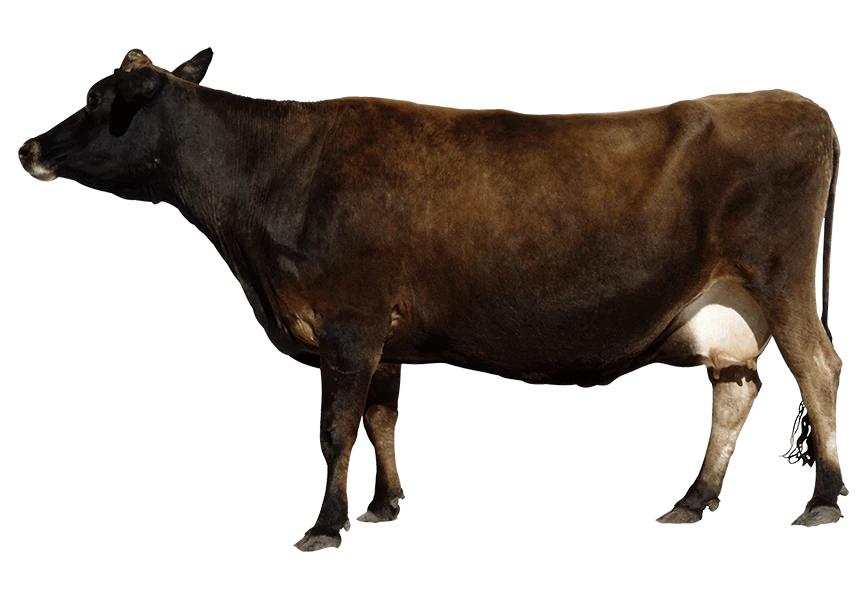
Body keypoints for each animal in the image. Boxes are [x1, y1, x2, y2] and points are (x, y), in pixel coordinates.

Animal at [18, 48, 846, 551]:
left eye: (94, 98)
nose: (27, 147)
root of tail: (799, 105)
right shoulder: (382, 336)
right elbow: (382, 420)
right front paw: (384, 506)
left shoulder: (347, 321)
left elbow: (335, 429)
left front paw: (326, 524)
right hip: (728, 308)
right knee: (736, 387)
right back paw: (693, 498)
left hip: (781, 278)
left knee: (818, 370)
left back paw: (823, 499)